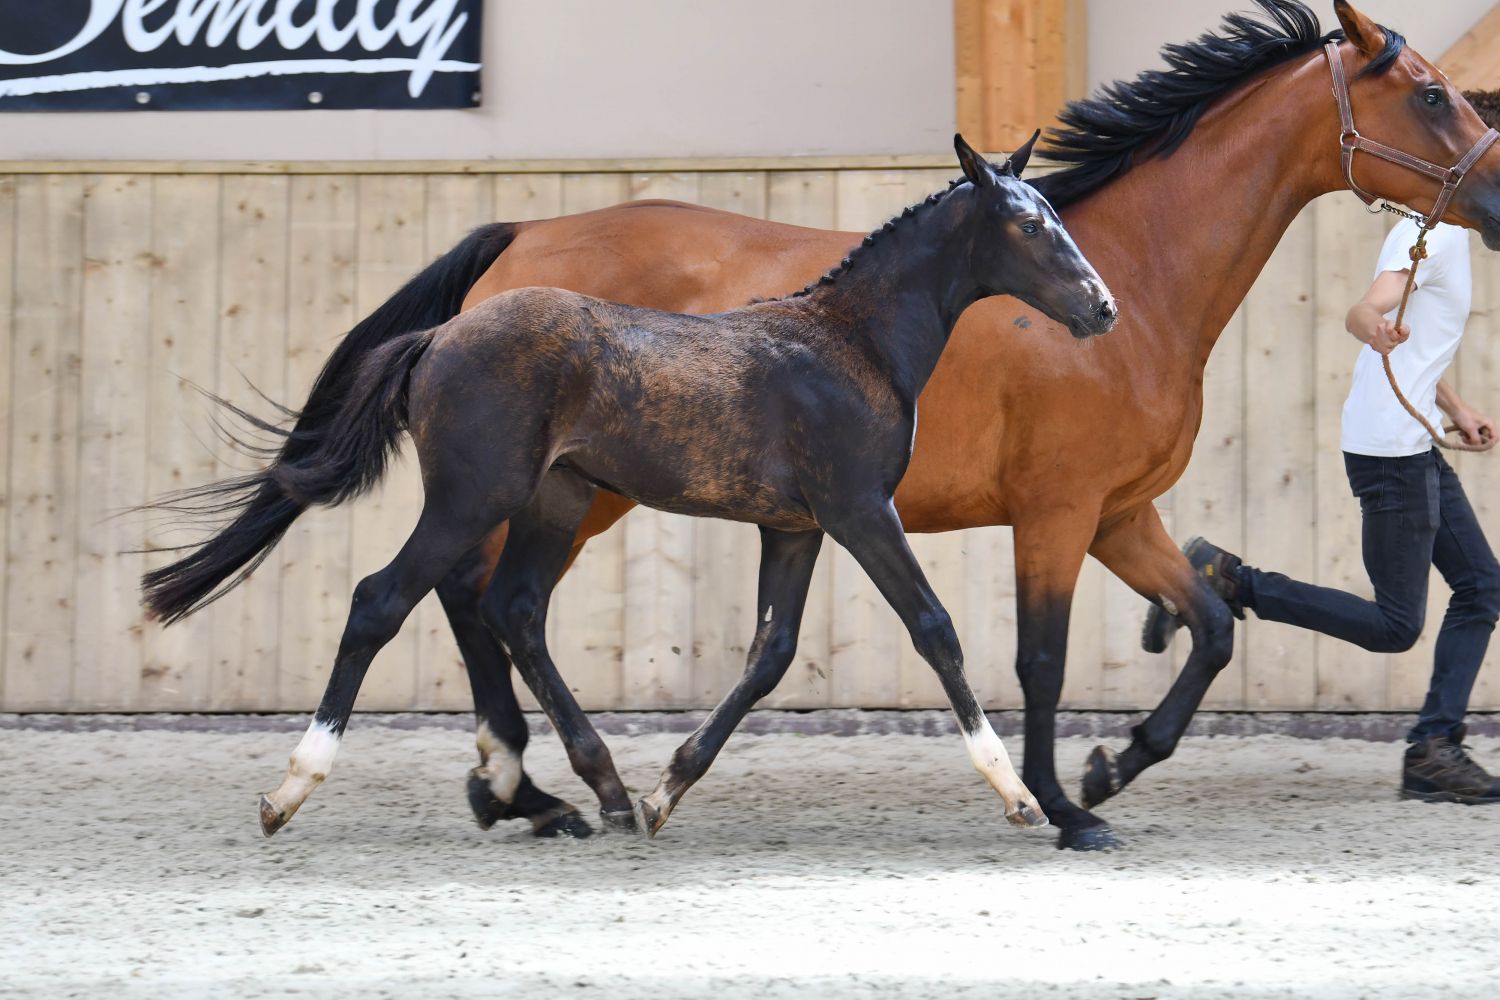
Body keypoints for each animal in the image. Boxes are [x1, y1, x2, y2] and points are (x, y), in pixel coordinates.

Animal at [143, 136, 1117, 837]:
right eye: (1029, 225)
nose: (1101, 307)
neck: (851, 341)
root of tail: (438, 337)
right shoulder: (858, 511)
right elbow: (935, 629)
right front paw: (1019, 796)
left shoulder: (795, 527)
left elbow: (770, 653)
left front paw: (664, 793)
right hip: (474, 498)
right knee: (384, 600)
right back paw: (292, 792)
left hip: (557, 498)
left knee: (512, 607)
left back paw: (602, 791)